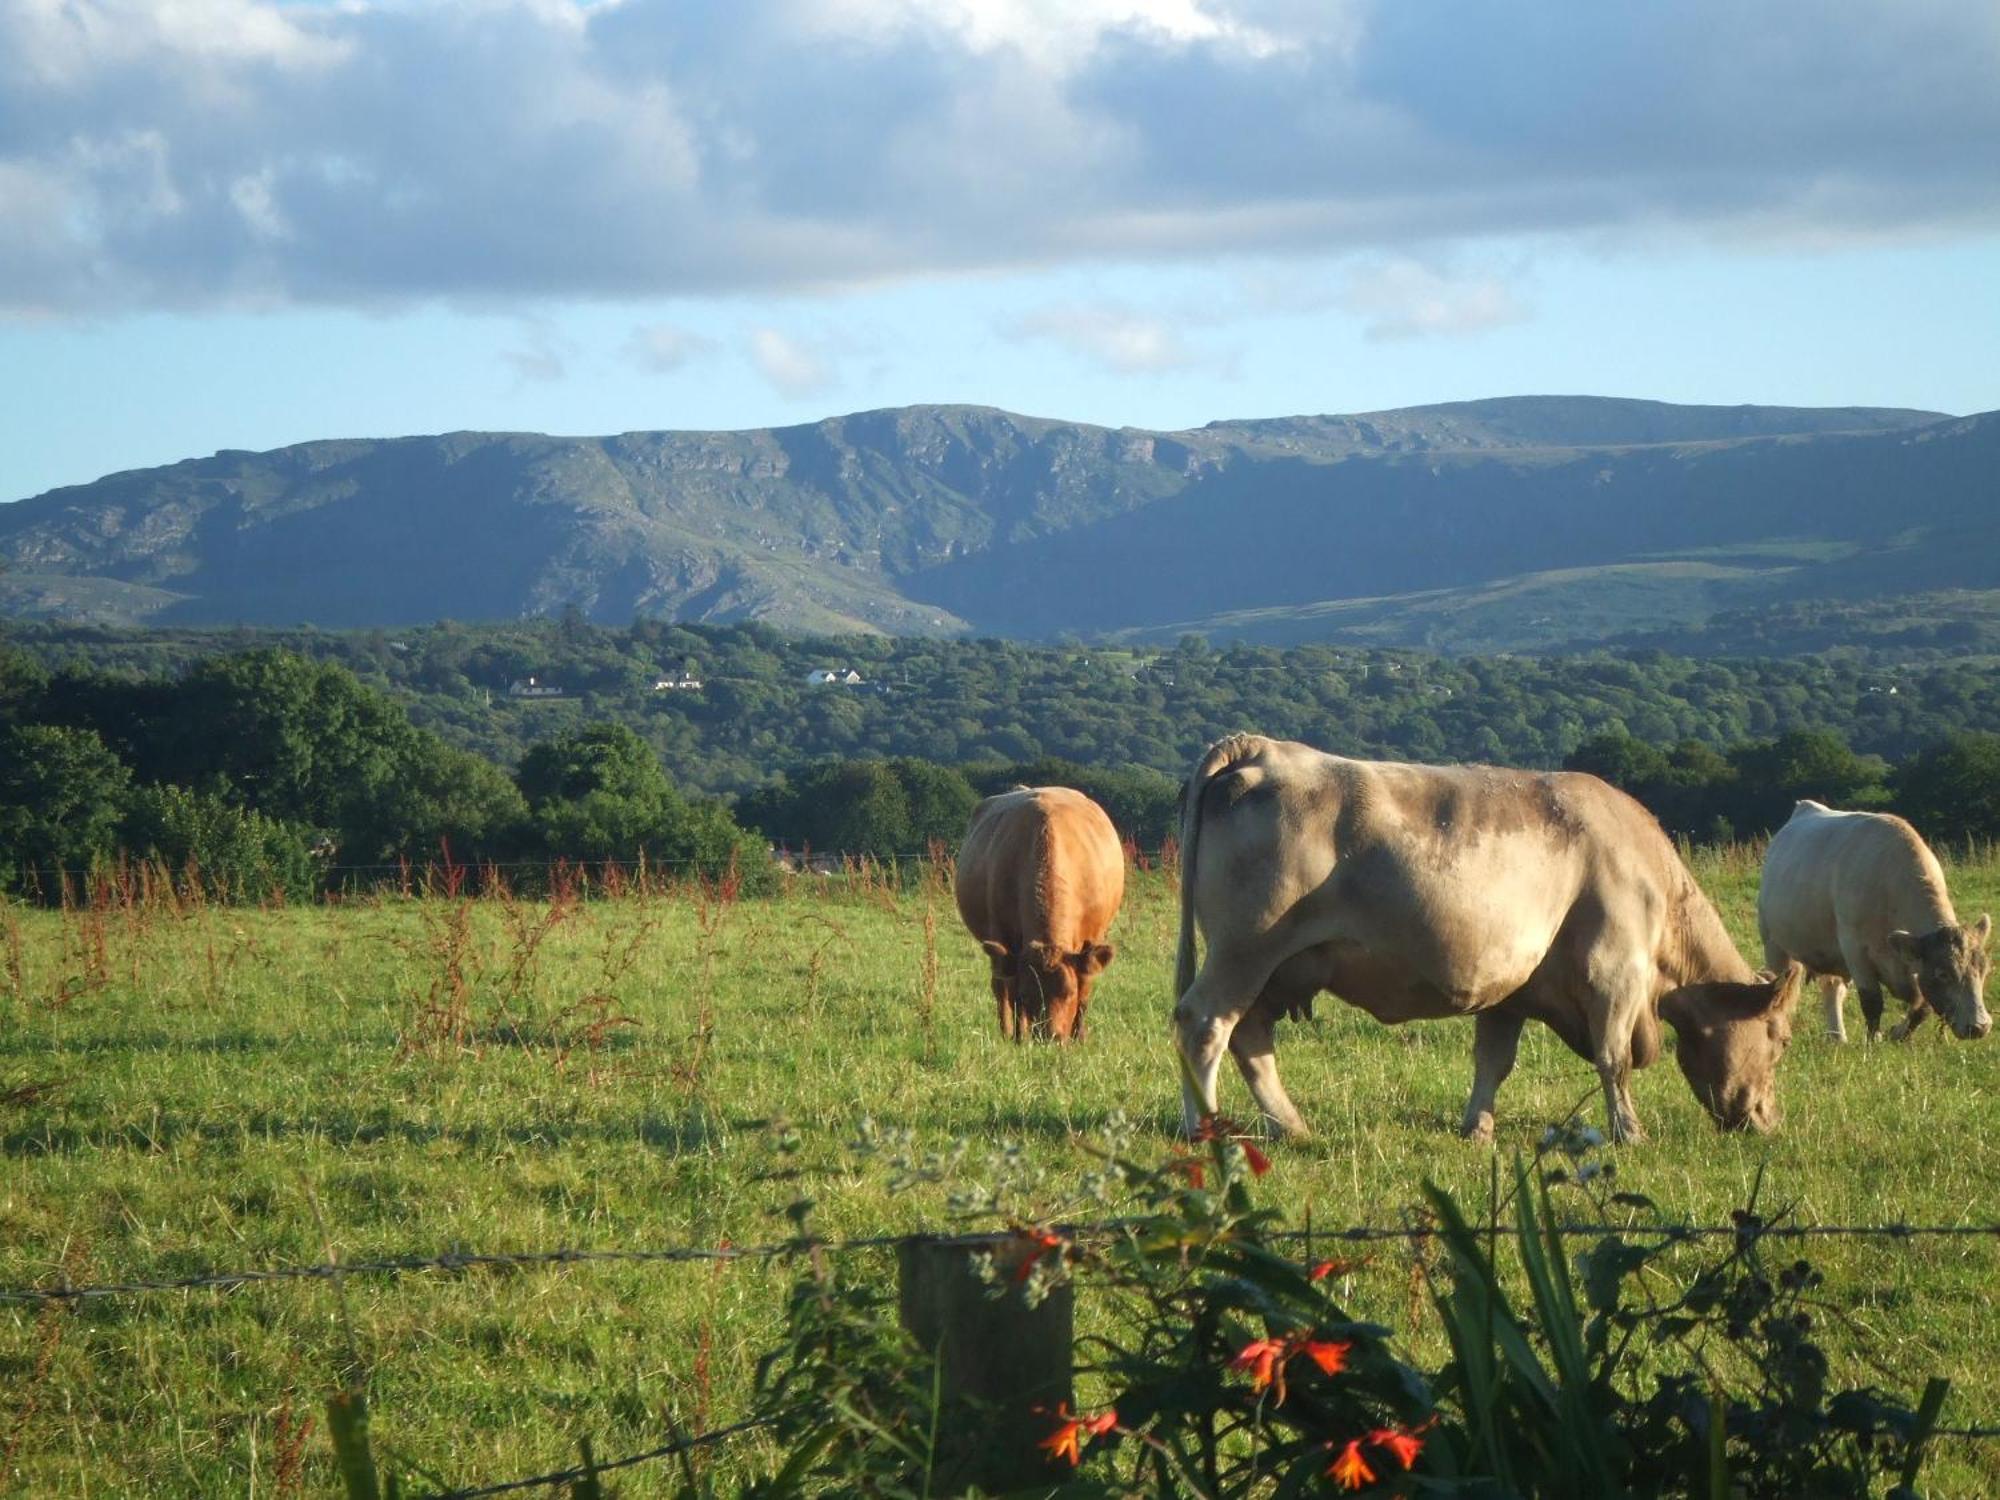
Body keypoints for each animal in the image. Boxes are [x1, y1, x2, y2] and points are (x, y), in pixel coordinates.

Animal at [952, 788, 1128, 1048]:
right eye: (1028, 995)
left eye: (1069, 992)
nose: (1051, 1038)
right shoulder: (1005, 940)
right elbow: (1012, 994)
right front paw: (1018, 1038)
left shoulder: (1093, 939)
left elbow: (1085, 991)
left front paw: (1079, 1037)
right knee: (1000, 988)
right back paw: (1007, 1032)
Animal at [1168, 736, 1808, 1144]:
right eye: (1779, 1040)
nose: (1770, 1120)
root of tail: (1262, 748)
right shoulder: (1615, 971)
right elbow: (1615, 1059)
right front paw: (1630, 1133)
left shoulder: (1512, 989)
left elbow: (1494, 1061)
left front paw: (1476, 1129)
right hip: (1245, 950)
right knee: (1205, 1025)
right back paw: (1205, 1130)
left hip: (1279, 967)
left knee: (1251, 1038)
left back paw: (1292, 1127)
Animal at [1768, 800, 1984, 1048]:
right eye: (1943, 974)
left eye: (1984, 969)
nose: (1979, 1026)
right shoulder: (1855, 950)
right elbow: (1872, 1001)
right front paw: (1872, 1043)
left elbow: (1922, 1007)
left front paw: (1897, 1033)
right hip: (1773, 943)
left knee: (1832, 989)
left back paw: (1837, 1036)